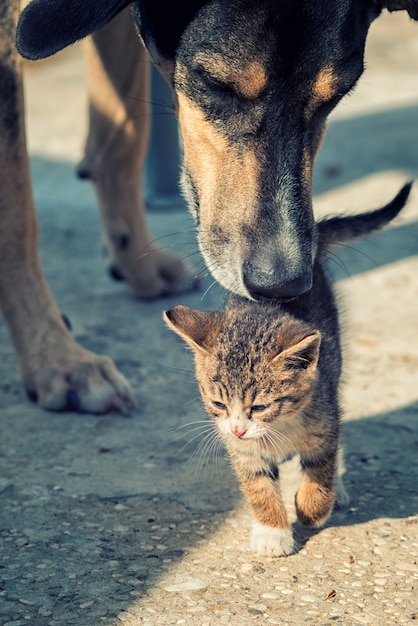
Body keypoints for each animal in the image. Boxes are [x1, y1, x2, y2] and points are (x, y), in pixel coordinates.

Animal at [1, 0, 416, 412]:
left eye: (334, 99)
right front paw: (56, 359)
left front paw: (136, 260)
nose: (284, 286)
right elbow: (16, 215)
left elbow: (125, 137)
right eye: (217, 85)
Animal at [163, 182, 412, 556]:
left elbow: (321, 471)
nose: (238, 429)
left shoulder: (323, 421)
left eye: (260, 406)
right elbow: (258, 486)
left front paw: (311, 509)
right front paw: (272, 531)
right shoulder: (244, 451)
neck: (277, 429)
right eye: (218, 404)